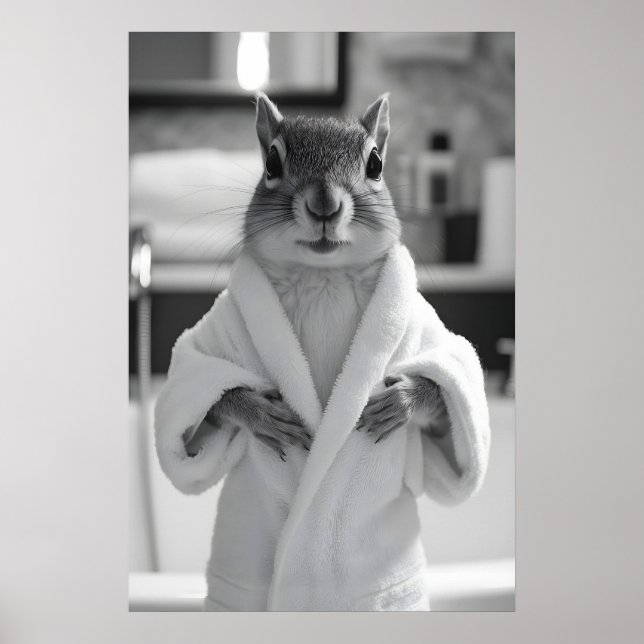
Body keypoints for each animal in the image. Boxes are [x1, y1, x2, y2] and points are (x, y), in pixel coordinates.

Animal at [184, 93, 449, 460]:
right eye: (271, 163)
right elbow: (208, 388)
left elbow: (446, 389)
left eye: (375, 164)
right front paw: (260, 415)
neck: (323, 277)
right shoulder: (212, 345)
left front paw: (402, 402)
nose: (325, 204)